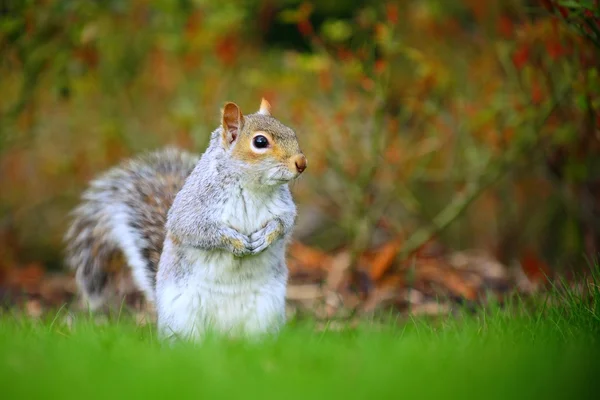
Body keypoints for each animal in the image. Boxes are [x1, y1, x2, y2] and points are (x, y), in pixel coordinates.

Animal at [65, 98, 308, 340]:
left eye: (292, 133)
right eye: (260, 141)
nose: (302, 163)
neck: (253, 187)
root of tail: (224, 337)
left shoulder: (284, 207)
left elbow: (284, 223)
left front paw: (265, 237)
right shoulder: (191, 208)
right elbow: (194, 229)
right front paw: (236, 242)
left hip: (265, 313)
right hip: (183, 316)